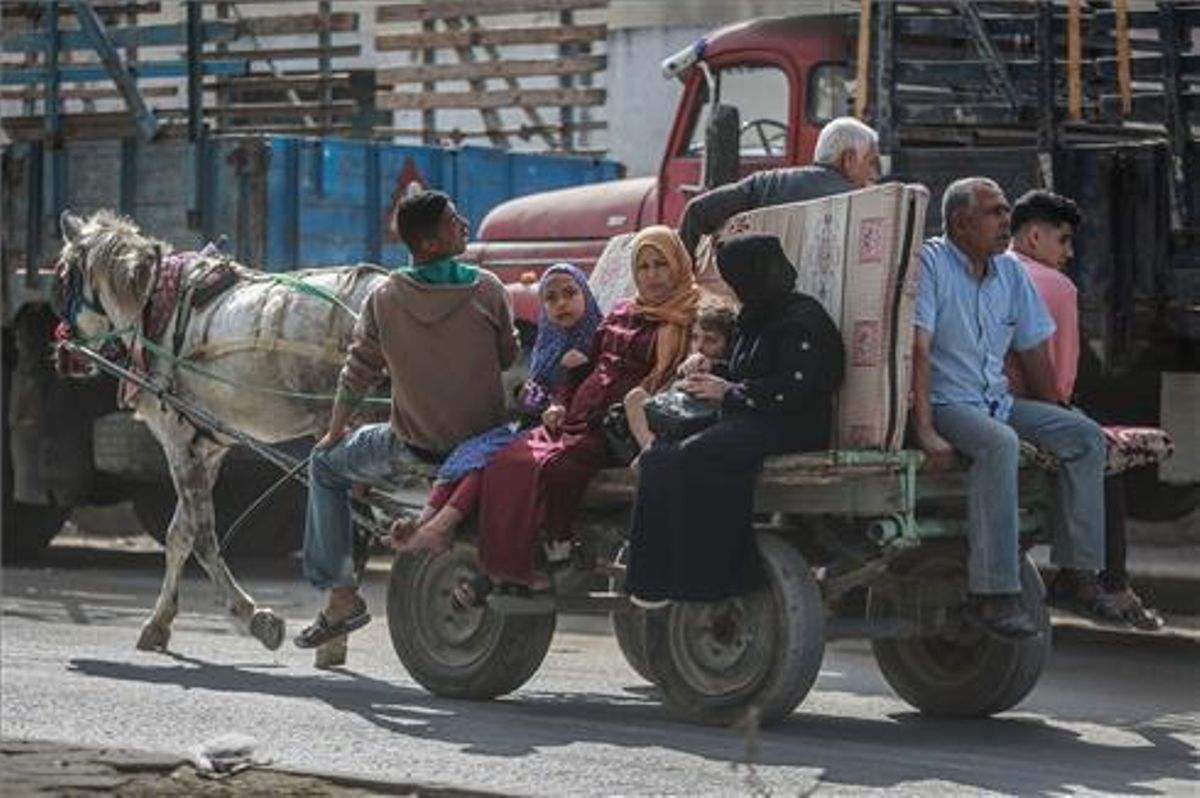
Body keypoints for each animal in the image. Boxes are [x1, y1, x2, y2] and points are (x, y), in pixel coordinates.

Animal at [56, 210, 386, 652]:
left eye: (64, 275)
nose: (63, 350)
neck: (154, 306)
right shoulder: (207, 447)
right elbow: (179, 534)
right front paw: (158, 623)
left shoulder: (177, 443)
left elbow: (200, 536)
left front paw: (255, 617)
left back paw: (336, 628)